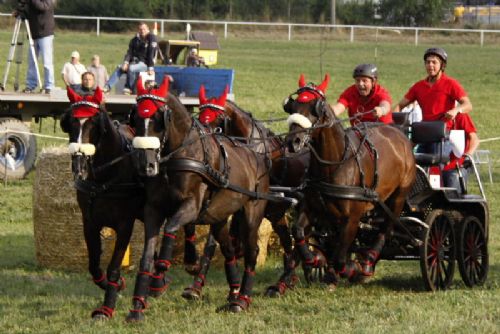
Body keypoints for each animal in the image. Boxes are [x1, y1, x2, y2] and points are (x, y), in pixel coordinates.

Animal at [60, 87, 144, 320]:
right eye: (71, 123)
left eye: (93, 124)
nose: (79, 165)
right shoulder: (90, 222)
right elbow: (94, 265)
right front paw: (113, 286)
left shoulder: (125, 225)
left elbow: (113, 267)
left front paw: (107, 307)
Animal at [127, 77, 272, 320]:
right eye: (136, 118)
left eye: (157, 119)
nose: (144, 164)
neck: (179, 155)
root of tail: (257, 156)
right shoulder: (153, 209)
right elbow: (147, 256)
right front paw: (138, 306)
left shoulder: (191, 206)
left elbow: (171, 227)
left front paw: (160, 278)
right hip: (219, 217)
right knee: (228, 249)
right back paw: (233, 292)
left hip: (252, 214)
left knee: (252, 252)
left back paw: (242, 299)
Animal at [284, 73, 416, 288]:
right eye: (292, 105)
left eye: (315, 108)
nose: (292, 142)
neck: (334, 164)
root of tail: (401, 136)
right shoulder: (313, 208)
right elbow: (298, 231)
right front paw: (313, 258)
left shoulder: (352, 218)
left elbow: (339, 259)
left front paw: (350, 269)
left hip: (398, 197)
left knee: (385, 230)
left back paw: (368, 263)